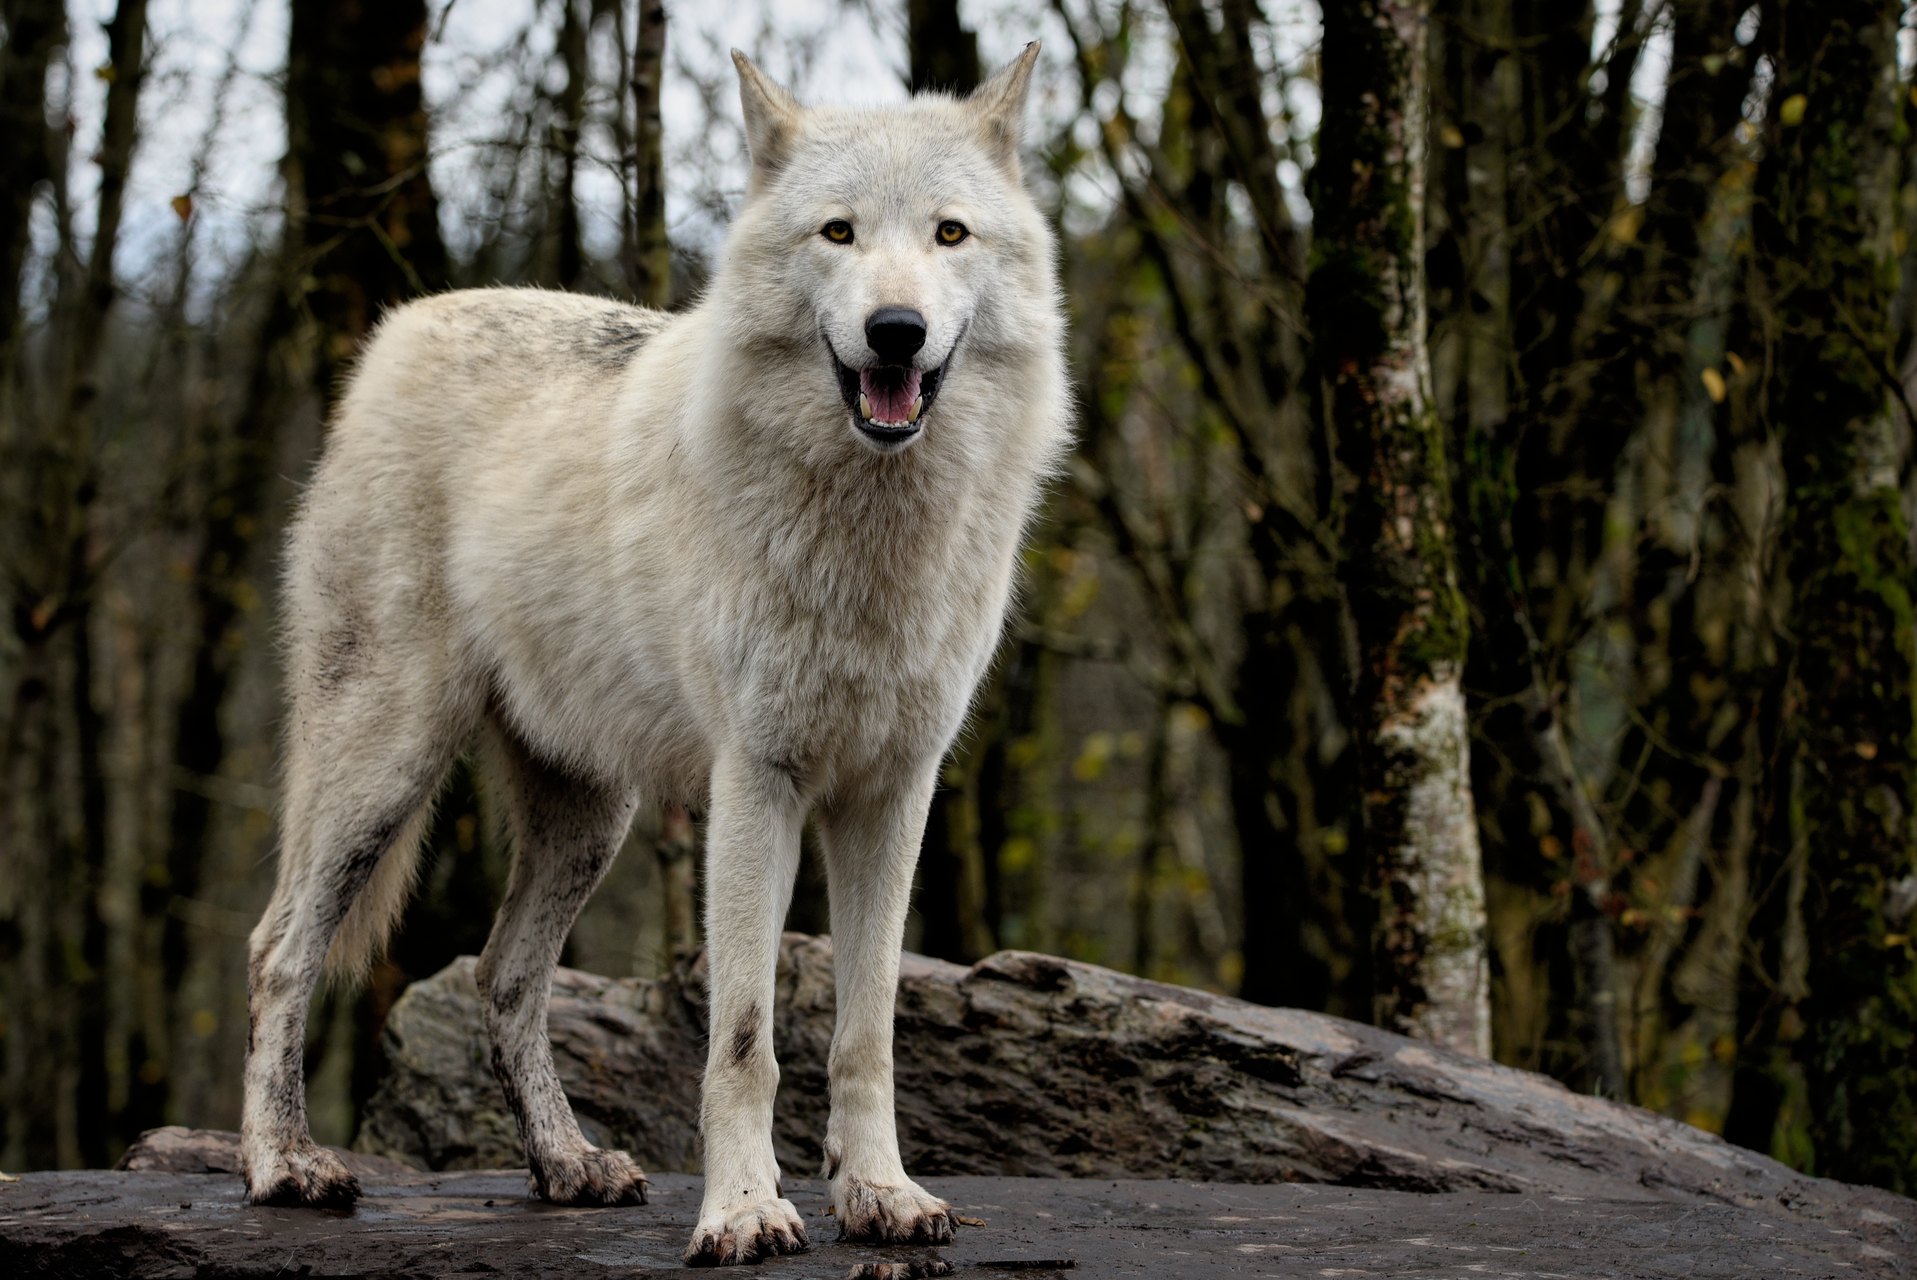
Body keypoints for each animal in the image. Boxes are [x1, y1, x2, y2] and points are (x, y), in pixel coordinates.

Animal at [238, 43, 1068, 1268]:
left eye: (949, 234)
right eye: (838, 233)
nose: (897, 329)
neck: (870, 532)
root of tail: (396, 333)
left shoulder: (893, 791)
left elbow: (865, 1032)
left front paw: (880, 1193)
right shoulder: (756, 786)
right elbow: (744, 1041)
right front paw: (745, 1211)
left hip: (591, 816)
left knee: (503, 976)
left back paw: (566, 1164)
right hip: (383, 768)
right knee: (280, 949)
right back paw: (282, 1164)